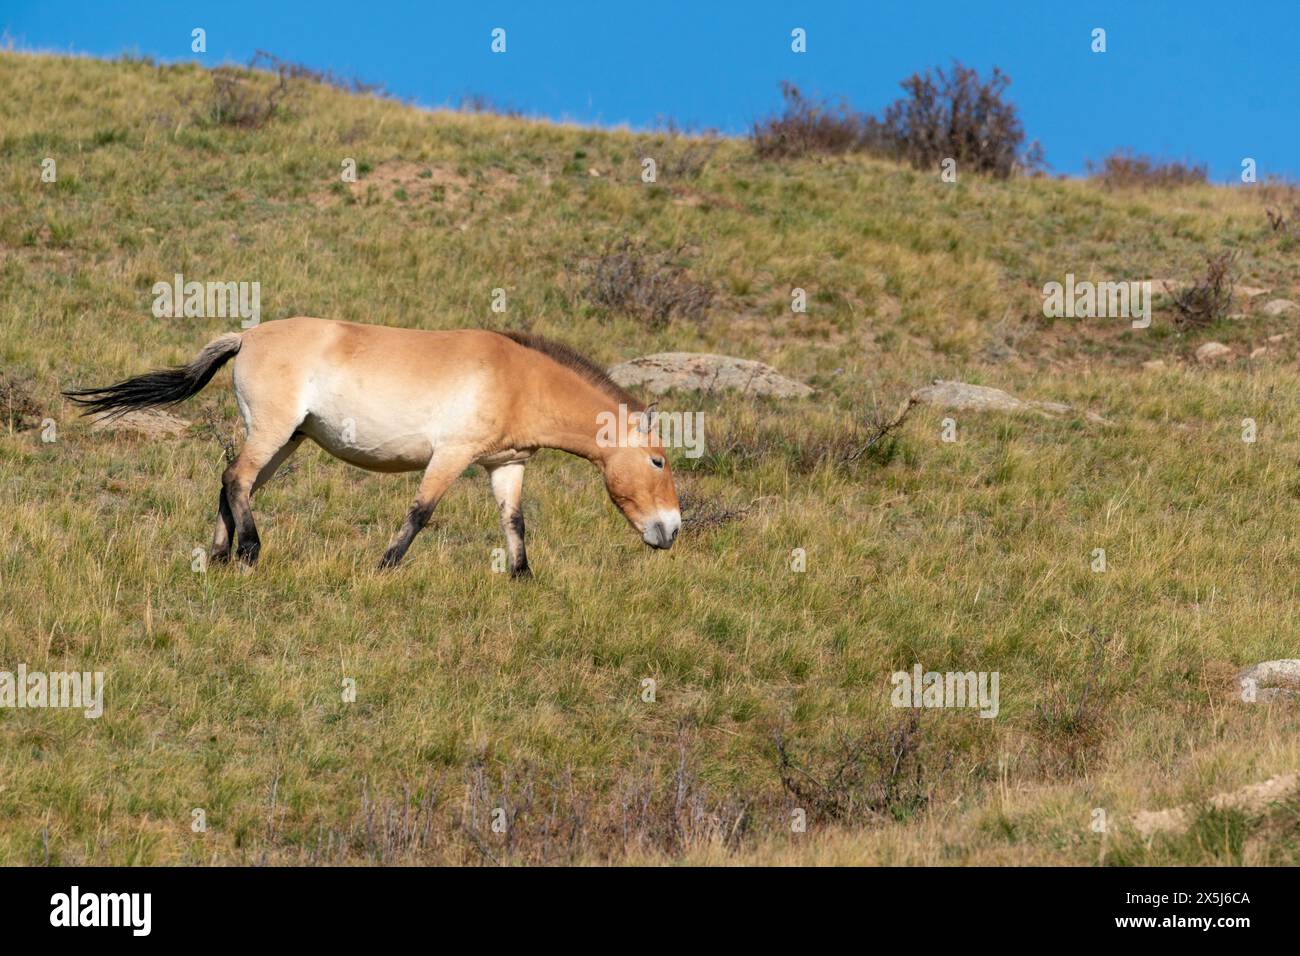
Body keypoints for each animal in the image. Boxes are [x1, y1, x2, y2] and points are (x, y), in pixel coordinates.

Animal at [63, 317, 681, 580]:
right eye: (658, 460)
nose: (672, 531)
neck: (517, 378)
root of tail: (248, 335)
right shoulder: (451, 456)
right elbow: (421, 511)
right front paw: (383, 567)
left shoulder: (504, 465)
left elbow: (515, 523)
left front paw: (522, 578)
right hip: (272, 432)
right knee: (237, 478)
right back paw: (249, 553)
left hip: (287, 440)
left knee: (230, 480)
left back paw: (218, 555)